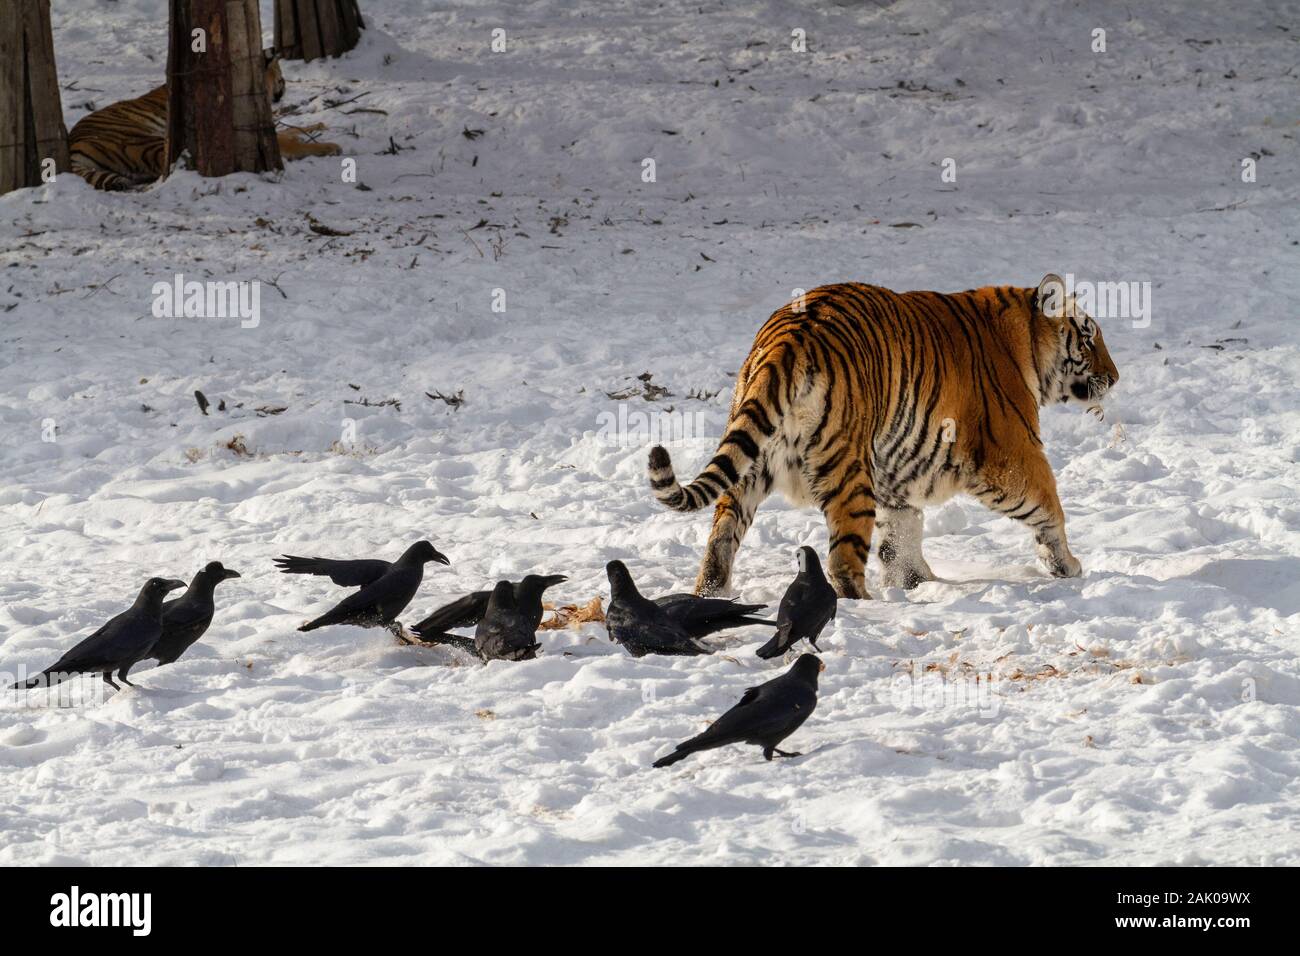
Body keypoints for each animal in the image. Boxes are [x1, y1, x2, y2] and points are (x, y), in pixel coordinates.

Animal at [647, 273, 1118, 598]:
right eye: (1088, 337)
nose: (1114, 378)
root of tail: (786, 339)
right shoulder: (1012, 451)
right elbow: (1049, 507)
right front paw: (1067, 565)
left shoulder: (901, 467)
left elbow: (902, 533)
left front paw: (918, 581)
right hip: (850, 474)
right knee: (842, 561)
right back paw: (865, 606)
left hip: (751, 465)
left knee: (720, 539)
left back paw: (711, 594)